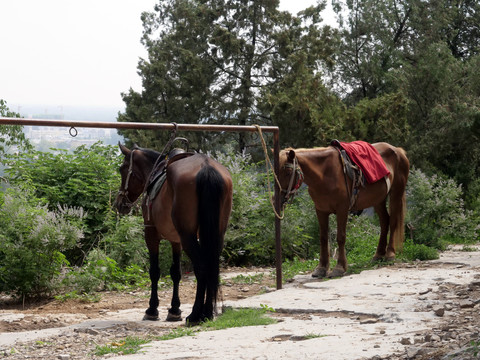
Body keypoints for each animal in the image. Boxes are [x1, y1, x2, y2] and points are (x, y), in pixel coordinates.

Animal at [113, 143, 232, 326]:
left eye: (122, 169)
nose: (120, 203)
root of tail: (206, 168)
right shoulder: (177, 241)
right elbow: (176, 273)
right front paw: (175, 310)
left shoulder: (151, 234)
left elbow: (155, 271)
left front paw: (152, 309)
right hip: (215, 234)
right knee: (211, 266)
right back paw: (207, 312)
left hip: (188, 236)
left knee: (202, 267)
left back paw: (196, 314)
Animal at [280, 142, 410, 278]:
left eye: (288, 172)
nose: (279, 198)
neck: (324, 174)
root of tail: (398, 150)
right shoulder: (320, 210)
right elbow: (323, 237)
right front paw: (321, 268)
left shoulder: (342, 209)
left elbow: (341, 237)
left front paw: (339, 268)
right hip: (378, 199)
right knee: (385, 221)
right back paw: (378, 254)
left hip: (396, 193)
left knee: (394, 221)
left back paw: (390, 254)